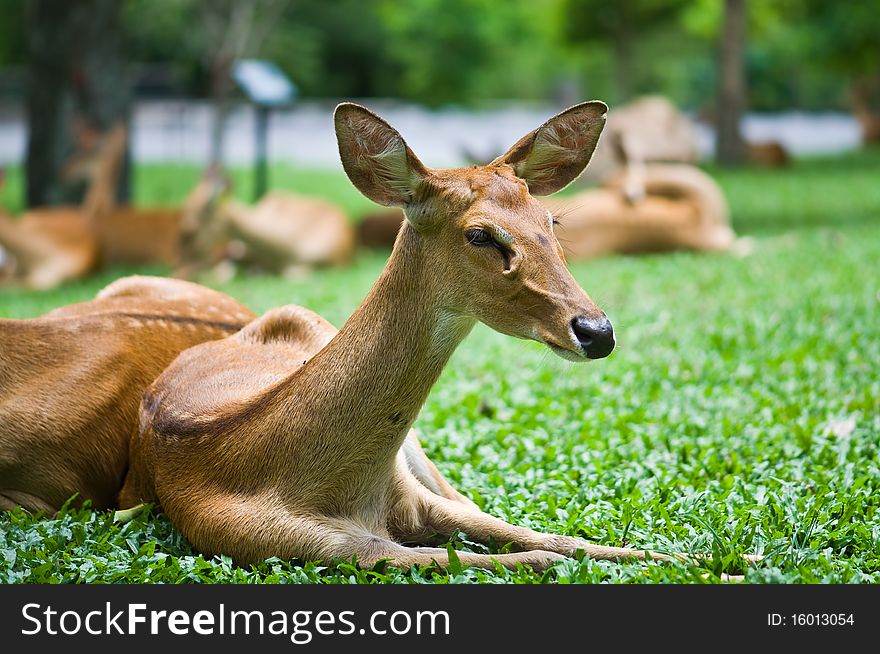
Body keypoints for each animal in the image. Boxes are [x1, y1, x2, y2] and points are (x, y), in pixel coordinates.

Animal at [113, 100, 760, 576]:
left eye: (551, 221)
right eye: (481, 235)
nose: (596, 331)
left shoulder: (415, 495)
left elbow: (556, 539)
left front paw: (734, 557)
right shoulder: (295, 543)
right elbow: (529, 557)